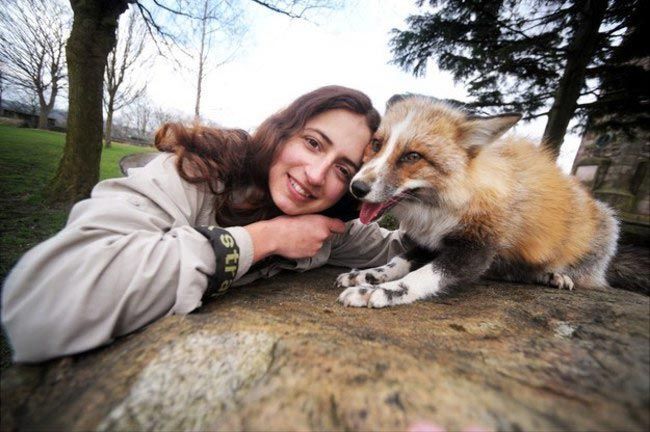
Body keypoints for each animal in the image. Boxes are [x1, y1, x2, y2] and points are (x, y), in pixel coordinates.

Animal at [336, 96, 620, 308]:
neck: (442, 207)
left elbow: (420, 276)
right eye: (376, 144)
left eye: (413, 156)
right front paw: (368, 275)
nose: (356, 188)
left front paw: (382, 291)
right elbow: (399, 261)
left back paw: (557, 275)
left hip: (606, 225)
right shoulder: (430, 240)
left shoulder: (477, 250)